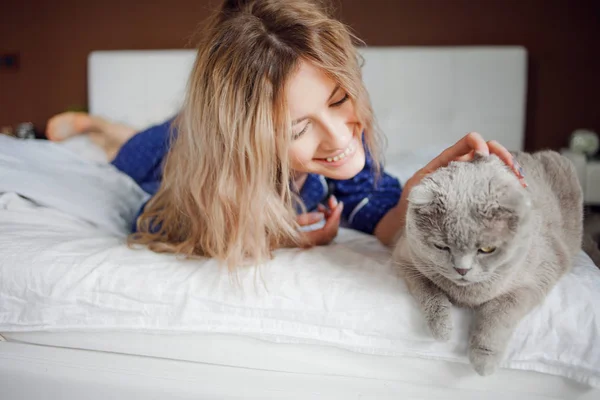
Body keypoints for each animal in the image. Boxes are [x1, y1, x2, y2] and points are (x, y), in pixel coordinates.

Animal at [392, 150, 584, 376]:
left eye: (486, 249)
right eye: (441, 246)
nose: (462, 269)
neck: (467, 296)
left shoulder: (537, 278)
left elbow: (498, 313)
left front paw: (484, 360)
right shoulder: (406, 259)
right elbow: (428, 290)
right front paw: (442, 328)